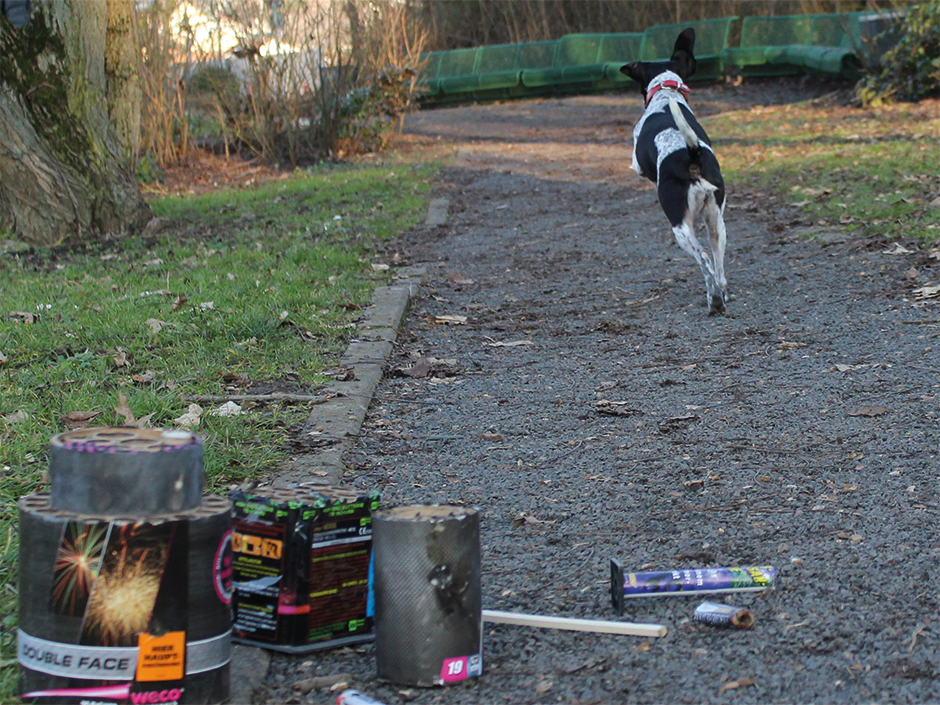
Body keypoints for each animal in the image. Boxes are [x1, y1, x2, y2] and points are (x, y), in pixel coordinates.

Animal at [620, 28, 732, 314]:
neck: (667, 93)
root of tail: (691, 153)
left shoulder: (637, 161)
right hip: (717, 223)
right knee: (718, 265)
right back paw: (722, 294)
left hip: (680, 226)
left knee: (704, 259)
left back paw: (714, 301)